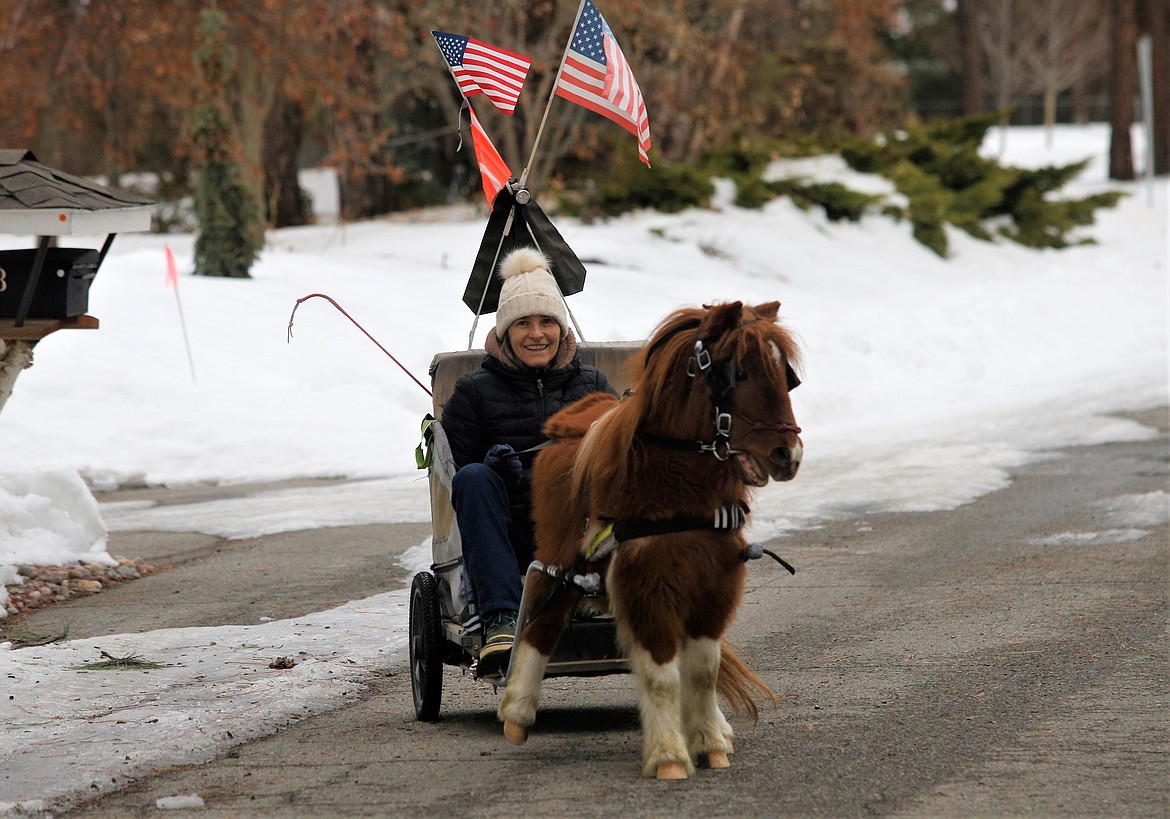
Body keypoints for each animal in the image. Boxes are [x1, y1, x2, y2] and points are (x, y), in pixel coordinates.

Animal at [493, 301, 804, 781]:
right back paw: (517, 712)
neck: (675, 490)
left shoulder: (715, 584)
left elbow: (703, 670)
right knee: (541, 613)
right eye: (740, 372)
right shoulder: (646, 584)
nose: (787, 454)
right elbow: (661, 672)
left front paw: (710, 743)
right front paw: (669, 755)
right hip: (561, 558)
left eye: (786, 375)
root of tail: (565, 422)